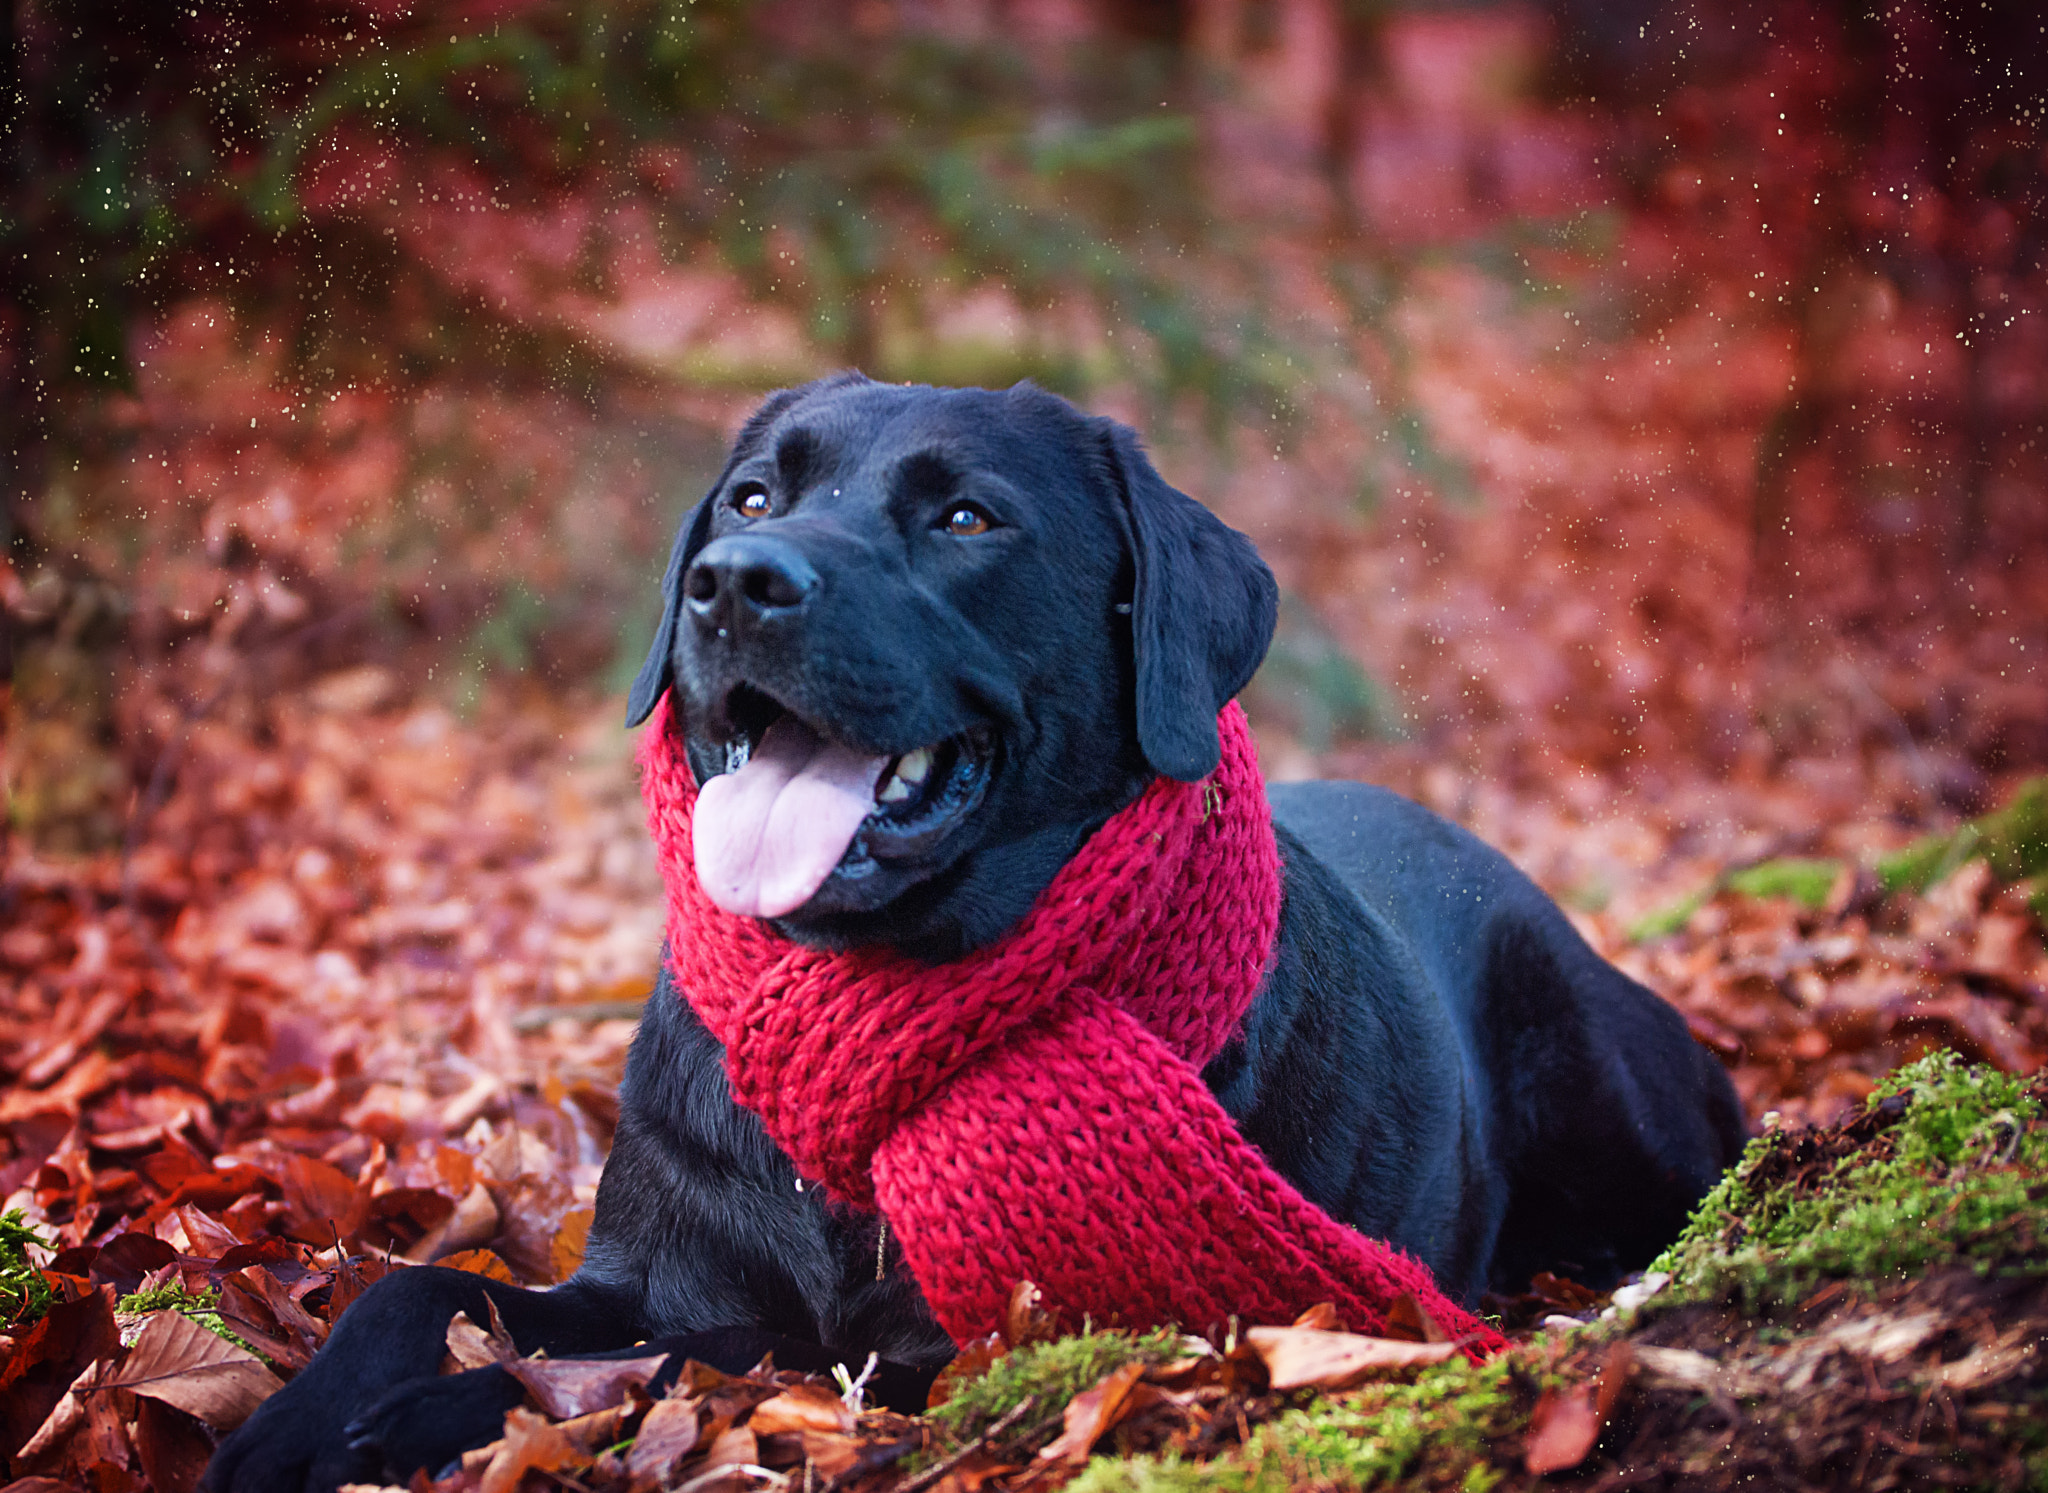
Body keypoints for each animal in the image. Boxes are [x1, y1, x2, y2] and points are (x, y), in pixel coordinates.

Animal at [211, 374, 1744, 1490]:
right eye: (754, 494)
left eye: (964, 520)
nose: (733, 578)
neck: (861, 988)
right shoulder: (642, 1261)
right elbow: (413, 1286)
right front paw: (289, 1424)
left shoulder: (921, 1355)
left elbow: (701, 1361)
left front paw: (412, 1423)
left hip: (1616, 1100)